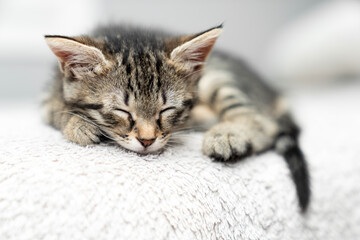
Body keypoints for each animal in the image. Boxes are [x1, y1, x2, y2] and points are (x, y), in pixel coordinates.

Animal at [43, 23, 310, 212]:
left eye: (166, 110)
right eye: (122, 111)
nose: (147, 140)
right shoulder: (49, 95)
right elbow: (57, 110)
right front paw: (79, 124)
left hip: (218, 76)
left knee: (264, 123)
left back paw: (226, 134)